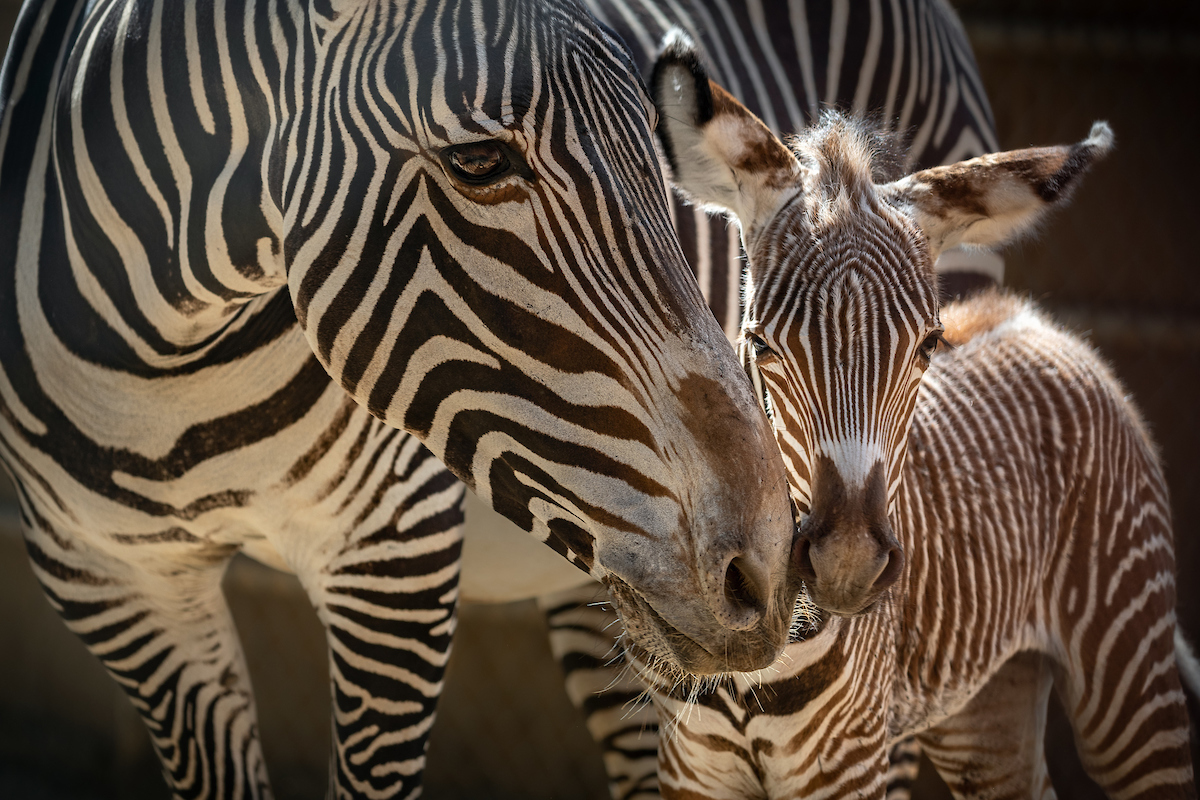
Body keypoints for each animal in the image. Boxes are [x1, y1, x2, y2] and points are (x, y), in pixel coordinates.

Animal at [633, 34, 1195, 796]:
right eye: (760, 343)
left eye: (928, 345)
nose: (847, 566)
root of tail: (1030, 319)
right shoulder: (690, 766)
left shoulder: (847, 759)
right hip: (986, 706)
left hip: (1126, 660)